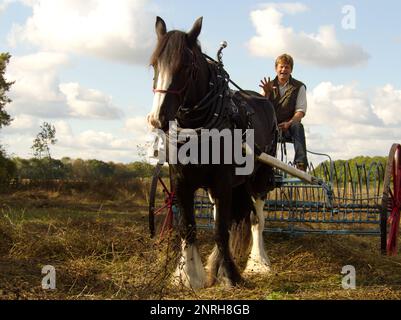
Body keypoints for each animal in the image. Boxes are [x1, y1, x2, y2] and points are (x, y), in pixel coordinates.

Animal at [148, 16, 278, 288]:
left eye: (186, 67)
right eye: (154, 64)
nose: (157, 119)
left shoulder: (223, 180)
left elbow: (220, 230)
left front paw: (230, 275)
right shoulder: (182, 182)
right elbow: (189, 227)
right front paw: (188, 275)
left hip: (259, 177)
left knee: (257, 220)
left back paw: (259, 263)